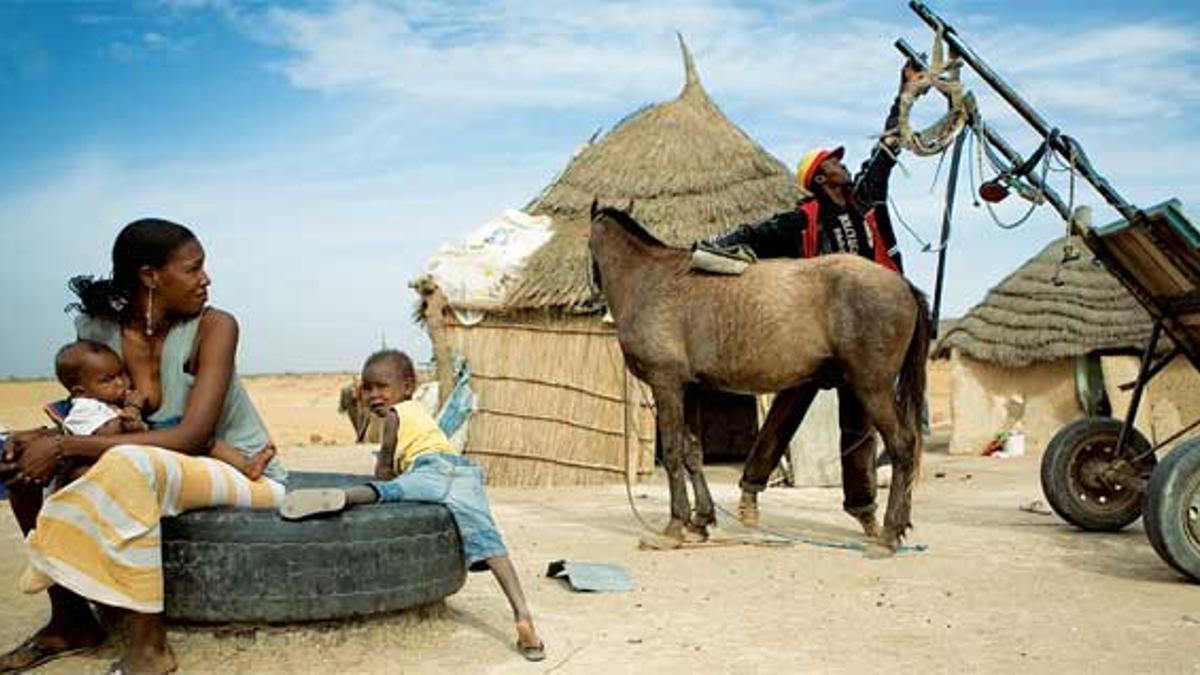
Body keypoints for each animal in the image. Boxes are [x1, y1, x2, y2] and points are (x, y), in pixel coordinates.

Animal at [585, 201, 931, 550]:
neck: (648, 279)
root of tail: (903, 285)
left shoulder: (666, 385)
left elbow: (671, 454)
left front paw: (675, 525)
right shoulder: (690, 388)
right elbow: (691, 453)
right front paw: (701, 520)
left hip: (873, 387)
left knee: (902, 447)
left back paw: (889, 532)